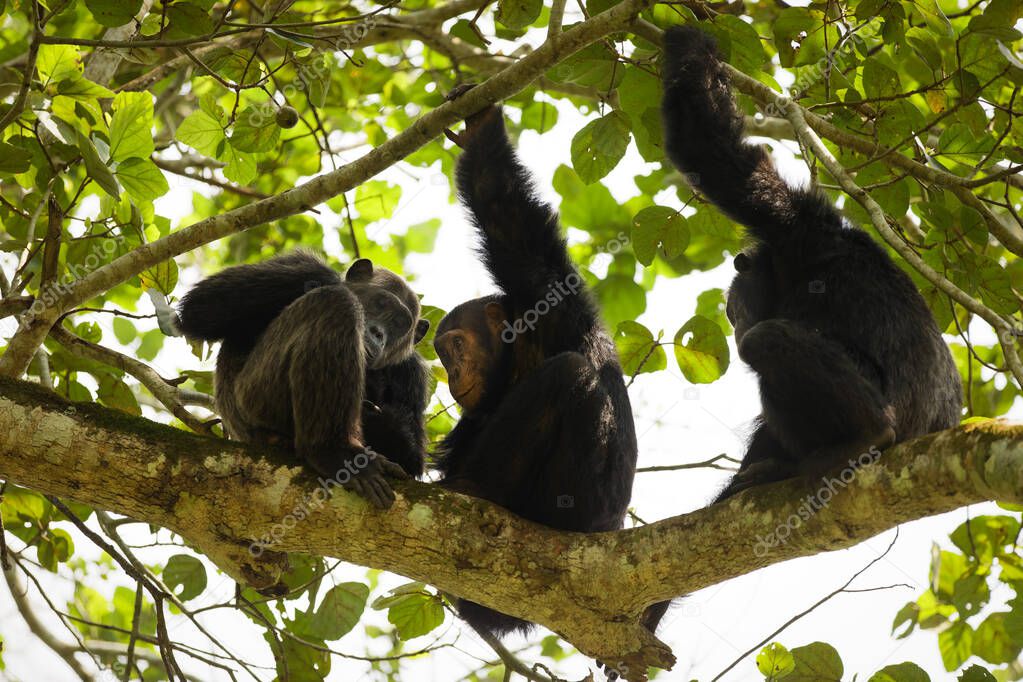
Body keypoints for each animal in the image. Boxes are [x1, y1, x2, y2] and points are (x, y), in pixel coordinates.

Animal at [176, 250, 431, 507]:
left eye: (399, 323)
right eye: (380, 303)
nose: (379, 333)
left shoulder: (413, 374)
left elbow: (412, 460)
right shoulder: (299, 265)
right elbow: (201, 306)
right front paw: (332, 281)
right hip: (255, 398)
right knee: (336, 303)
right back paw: (333, 452)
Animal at [433, 87, 638, 638]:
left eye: (454, 347)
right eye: (440, 354)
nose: (450, 372)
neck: (518, 350)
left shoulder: (546, 293)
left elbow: (502, 209)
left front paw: (482, 127)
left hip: (567, 509)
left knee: (568, 376)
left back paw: (474, 489)